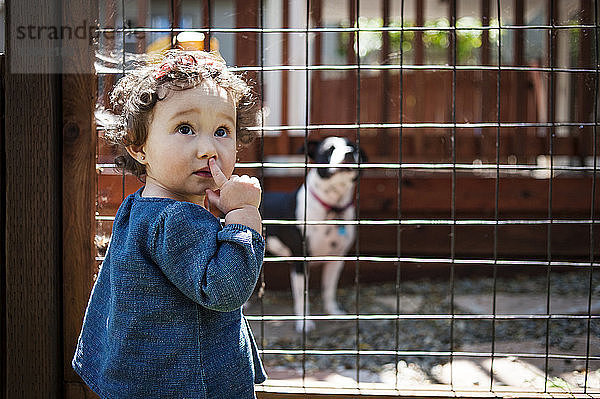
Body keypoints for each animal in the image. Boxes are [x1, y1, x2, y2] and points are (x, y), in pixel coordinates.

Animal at [264, 138, 368, 334]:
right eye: (329, 149)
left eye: (354, 147)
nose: (349, 153)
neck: (333, 205)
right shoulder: (300, 263)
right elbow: (301, 297)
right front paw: (304, 323)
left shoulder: (336, 260)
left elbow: (329, 288)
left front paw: (333, 311)